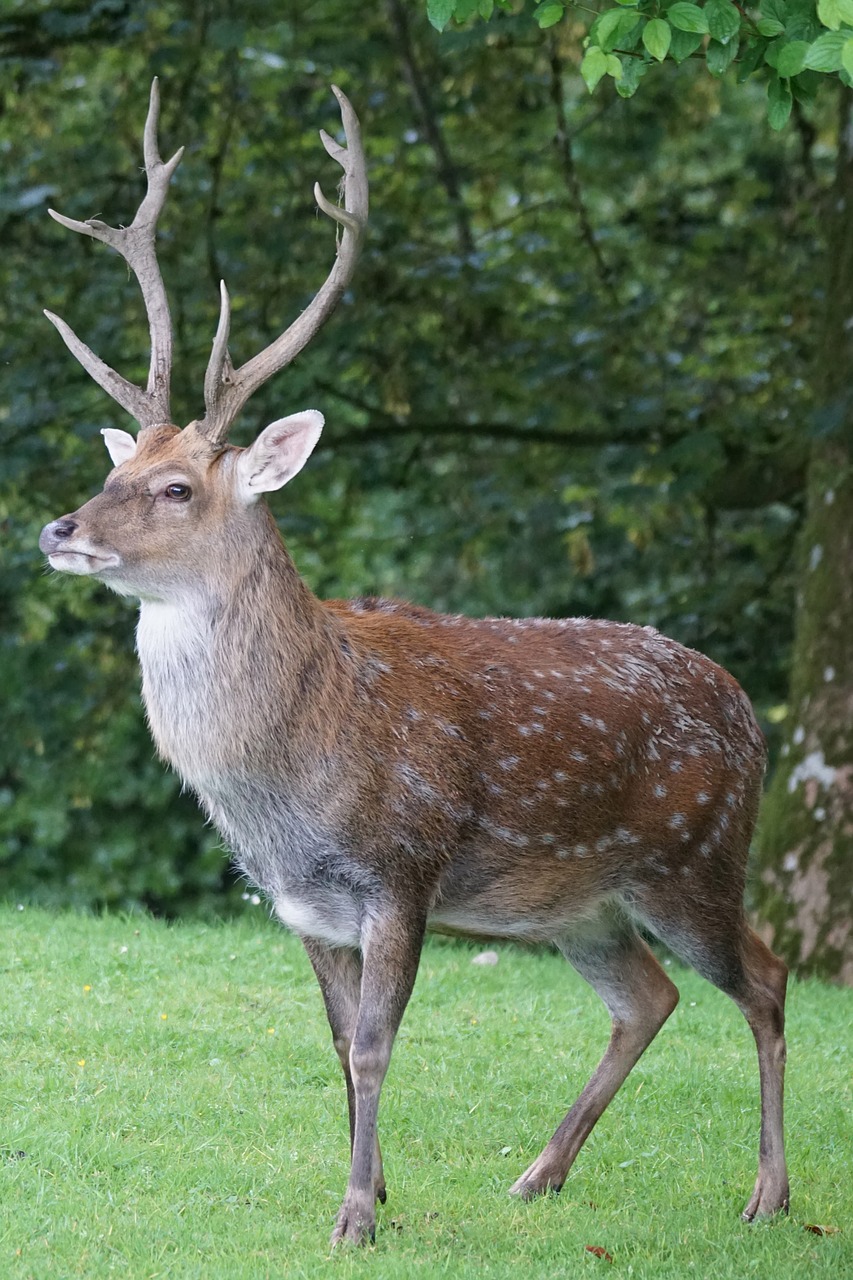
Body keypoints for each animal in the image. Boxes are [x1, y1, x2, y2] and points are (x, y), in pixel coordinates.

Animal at [38, 77, 783, 1239]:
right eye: (114, 467)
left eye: (176, 487)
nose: (58, 529)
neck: (290, 779)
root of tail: (753, 716)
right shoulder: (298, 905)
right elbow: (340, 1046)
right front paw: (376, 1188)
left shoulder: (403, 871)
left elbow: (380, 1045)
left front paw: (356, 1215)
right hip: (578, 902)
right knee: (649, 995)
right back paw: (539, 1172)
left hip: (694, 858)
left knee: (766, 974)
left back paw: (767, 1192)